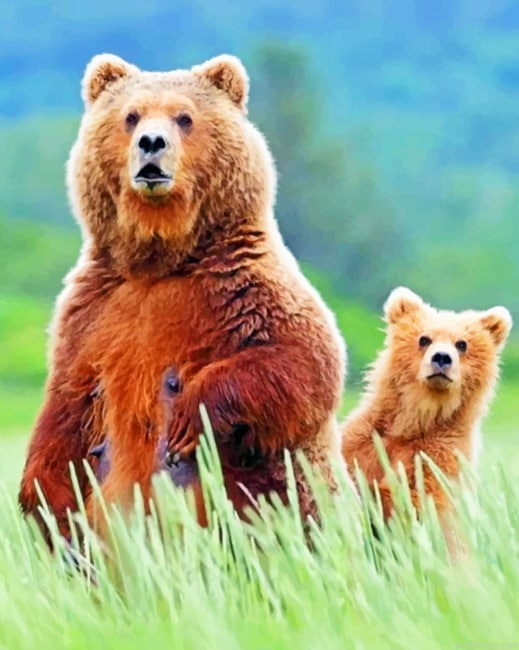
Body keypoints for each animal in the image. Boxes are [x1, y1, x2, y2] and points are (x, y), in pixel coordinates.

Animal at [19, 53, 347, 540]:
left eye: (184, 117)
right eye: (131, 116)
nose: (151, 143)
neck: (161, 260)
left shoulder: (243, 286)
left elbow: (302, 362)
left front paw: (189, 417)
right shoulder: (92, 313)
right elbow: (65, 406)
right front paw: (45, 503)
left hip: (270, 498)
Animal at [341, 287, 512, 529]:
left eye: (462, 344)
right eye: (424, 339)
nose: (441, 357)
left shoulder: (442, 457)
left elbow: (421, 503)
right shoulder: (365, 439)